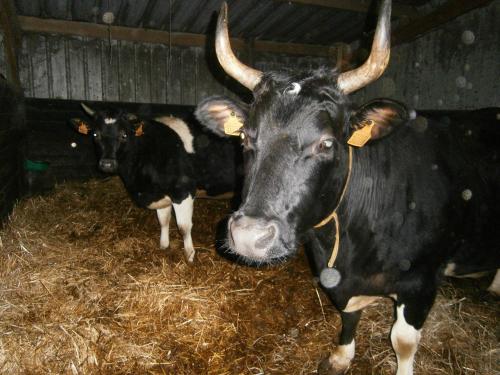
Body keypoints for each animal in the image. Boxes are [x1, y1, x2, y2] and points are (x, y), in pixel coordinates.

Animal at [195, 1, 500, 374]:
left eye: (326, 143)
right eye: (245, 139)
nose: (250, 237)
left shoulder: (422, 282)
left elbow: (403, 341)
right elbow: (349, 314)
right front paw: (341, 356)